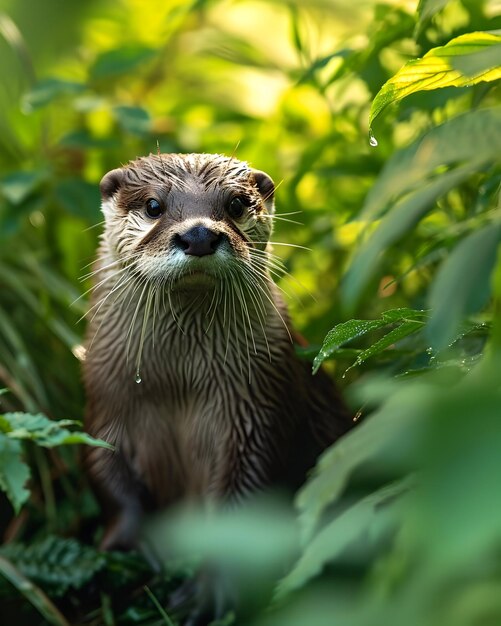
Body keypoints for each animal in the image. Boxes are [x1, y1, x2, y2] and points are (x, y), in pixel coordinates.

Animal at [82, 152, 350, 552]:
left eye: (236, 204)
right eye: (153, 205)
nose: (199, 235)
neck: (178, 380)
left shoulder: (257, 407)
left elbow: (247, 492)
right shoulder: (106, 401)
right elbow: (102, 468)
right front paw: (127, 540)